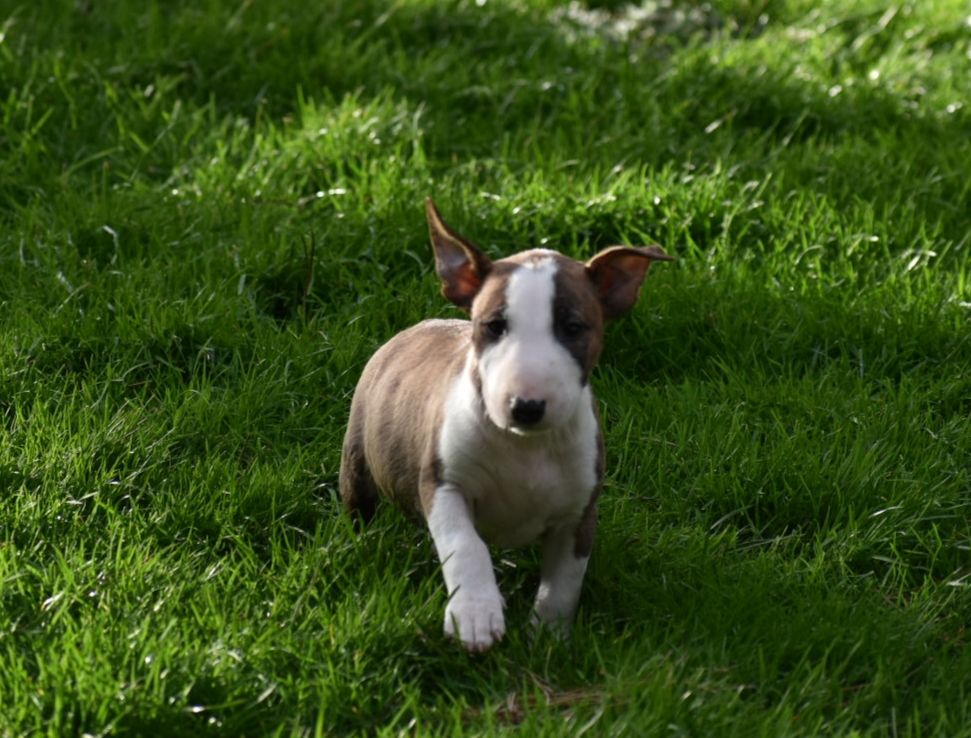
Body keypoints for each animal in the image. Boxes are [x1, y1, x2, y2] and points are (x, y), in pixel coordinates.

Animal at [339, 199, 672, 651]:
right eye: (494, 326)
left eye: (573, 327)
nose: (526, 407)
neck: (525, 446)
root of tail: (418, 326)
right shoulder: (443, 483)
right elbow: (465, 545)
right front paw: (475, 615)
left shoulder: (579, 512)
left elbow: (563, 583)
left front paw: (547, 638)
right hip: (357, 457)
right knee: (361, 507)